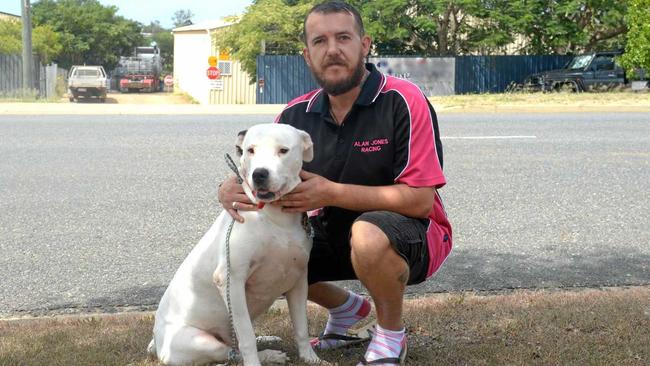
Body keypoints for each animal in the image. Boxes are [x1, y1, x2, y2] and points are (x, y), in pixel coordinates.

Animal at [147, 124, 318, 364]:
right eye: (250, 150)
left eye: (283, 150)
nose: (259, 174)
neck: (274, 215)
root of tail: (157, 341)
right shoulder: (231, 280)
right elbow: (246, 339)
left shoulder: (298, 279)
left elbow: (302, 327)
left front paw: (310, 357)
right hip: (198, 341)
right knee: (231, 350)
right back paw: (267, 354)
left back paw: (267, 340)